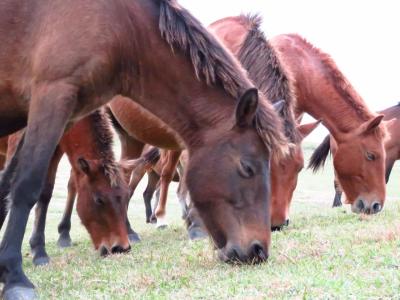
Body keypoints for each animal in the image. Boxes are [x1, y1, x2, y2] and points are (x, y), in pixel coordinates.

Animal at [1, 109, 131, 264]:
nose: (121, 248)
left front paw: (38, 250)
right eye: (99, 200)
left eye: (126, 197)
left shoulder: (54, 152)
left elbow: (45, 193)